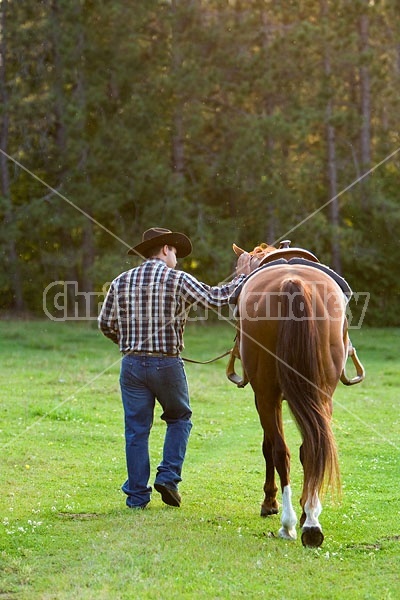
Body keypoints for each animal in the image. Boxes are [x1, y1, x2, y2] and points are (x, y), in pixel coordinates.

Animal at [231, 241, 354, 548]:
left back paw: (288, 523)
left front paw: (269, 503)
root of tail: (292, 282)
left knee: (281, 450)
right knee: (312, 447)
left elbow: (268, 447)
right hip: (322, 395)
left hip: (267, 394)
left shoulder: (262, 398)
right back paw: (310, 521)